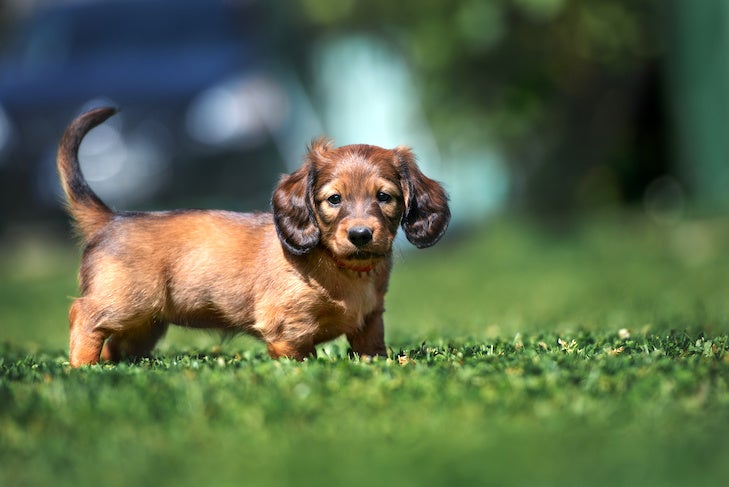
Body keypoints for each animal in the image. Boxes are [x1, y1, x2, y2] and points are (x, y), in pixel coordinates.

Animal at [59, 107, 450, 366]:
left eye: (384, 197)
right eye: (334, 199)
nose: (360, 235)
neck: (339, 267)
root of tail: (111, 219)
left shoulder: (369, 324)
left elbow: (371, 353)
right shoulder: (289, 330)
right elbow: (301, 359)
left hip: (144, 324)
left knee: (115, 344)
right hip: (126, 301)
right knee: (84, 316)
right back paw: (84, 368)